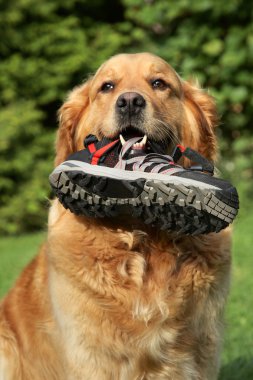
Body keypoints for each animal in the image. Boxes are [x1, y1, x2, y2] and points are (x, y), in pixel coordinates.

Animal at [0, 54, 231, 380]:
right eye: (107, 86)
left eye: (159, 83)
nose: (130, 101)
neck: (142, 240)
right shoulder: (90, 355)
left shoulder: (201, 353)